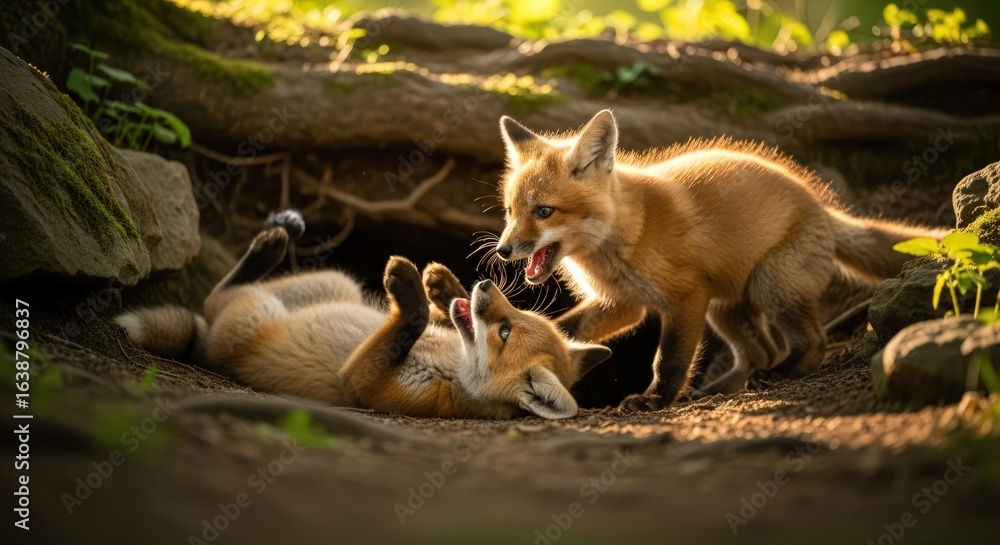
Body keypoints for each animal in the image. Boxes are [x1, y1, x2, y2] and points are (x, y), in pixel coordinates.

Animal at [115, 212, 610, 419]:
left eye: (504, 333)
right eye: (518, 314)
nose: (486, 287)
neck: (450, 367)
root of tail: (201, 343)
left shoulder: (364, 384)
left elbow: (410, 320)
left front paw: (411, 288)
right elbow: (434, 314)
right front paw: (441, 284)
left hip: (248, 315)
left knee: (216, 299)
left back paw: (266, 248)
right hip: (336, 284)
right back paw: (274, 238)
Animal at [492, 109, 949, 412]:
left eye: (544, 212)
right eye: (510, 212)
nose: (502, 251)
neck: (626, 233)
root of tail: (822, 207)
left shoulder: (686, 295)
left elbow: (670, 358)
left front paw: (656, 400)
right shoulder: (624, 302)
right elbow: (568, 327)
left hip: (769, 289)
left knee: (810, 341)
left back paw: (784, 372)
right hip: (727, 310)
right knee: (760, 352)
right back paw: (725, 387)